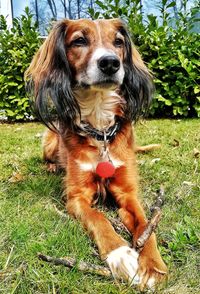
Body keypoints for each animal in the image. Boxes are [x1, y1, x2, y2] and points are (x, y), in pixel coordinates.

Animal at [25, 17, 168, 290]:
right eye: (79, 40)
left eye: (118, 42)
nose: (110, 62)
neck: (100, 129)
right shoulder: (76, 197)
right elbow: (98, 218)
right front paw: (120, 254)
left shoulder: (128, 193)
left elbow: (145, 224)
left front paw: (153, 264)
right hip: (49, 139)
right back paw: (52, 166)